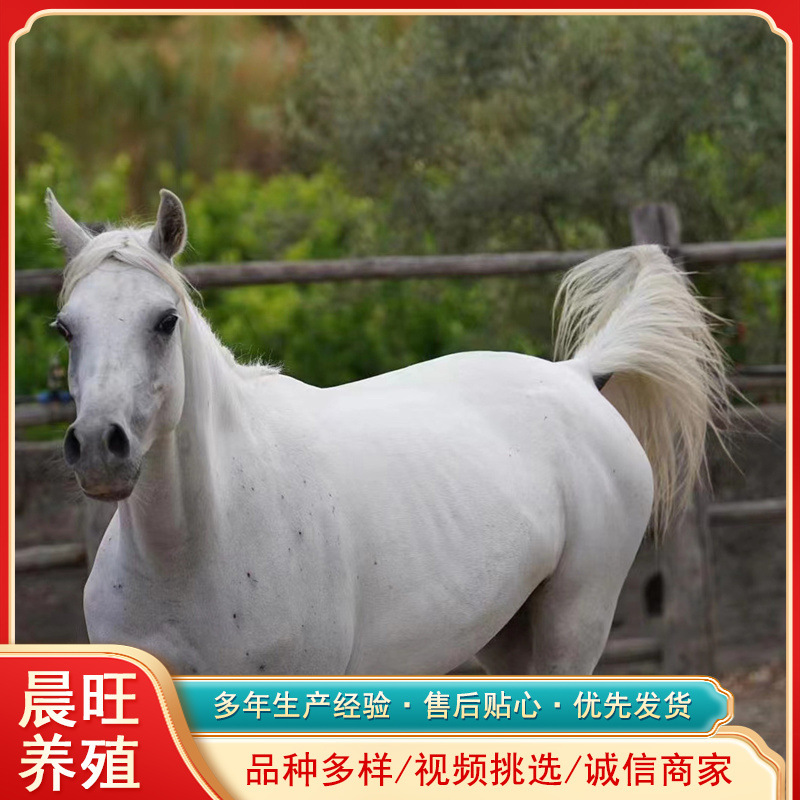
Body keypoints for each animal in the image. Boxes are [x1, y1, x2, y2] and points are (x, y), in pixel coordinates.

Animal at [46, 188, 731, 676]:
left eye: (165, 321)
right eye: (64, 328)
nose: (99, 447)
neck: (196, 551)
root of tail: (577, 375)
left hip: (575, 623)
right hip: (508, 634)